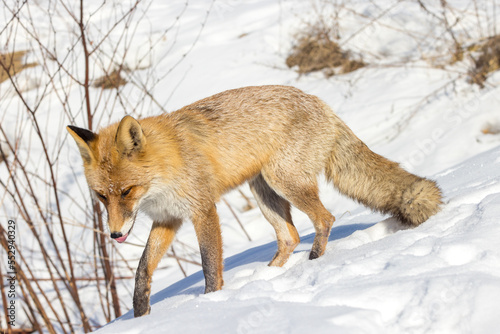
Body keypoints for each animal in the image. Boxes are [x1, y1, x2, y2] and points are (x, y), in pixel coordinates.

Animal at [67, 85, 442, 318]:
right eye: (102, 195)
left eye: (127, 191)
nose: (115, 235)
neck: (166, 166)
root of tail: (322, 103)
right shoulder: (168, 219)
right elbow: (143, 269)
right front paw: (140, 313)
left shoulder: (202, 209)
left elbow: (209, 266)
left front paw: (212, 303)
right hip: (263, 192)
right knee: (289, 236)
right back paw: (266, 278)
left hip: (284, 182)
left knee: (325, 219)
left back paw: (314, 262)